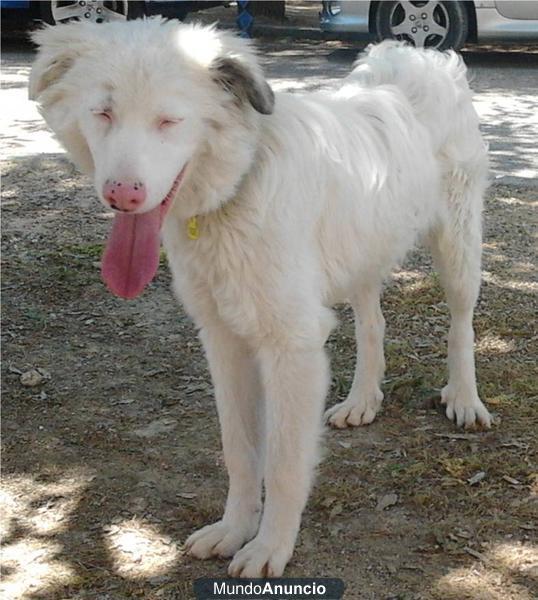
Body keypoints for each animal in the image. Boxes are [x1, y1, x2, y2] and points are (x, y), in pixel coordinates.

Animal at [29, 18, 490, 580]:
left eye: (169, 120)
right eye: (103, 112)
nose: (122, 196)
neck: (238, 185)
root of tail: (414, 57)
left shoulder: (292, 348)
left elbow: (285, 463)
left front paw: (271, 546)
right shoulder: (224, 341)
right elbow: (240, 449)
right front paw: (233, 529)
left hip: (458, 247)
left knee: (461, 324)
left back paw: (464, 397)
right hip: (362, 249)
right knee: (372, 323)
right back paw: (362, 399)